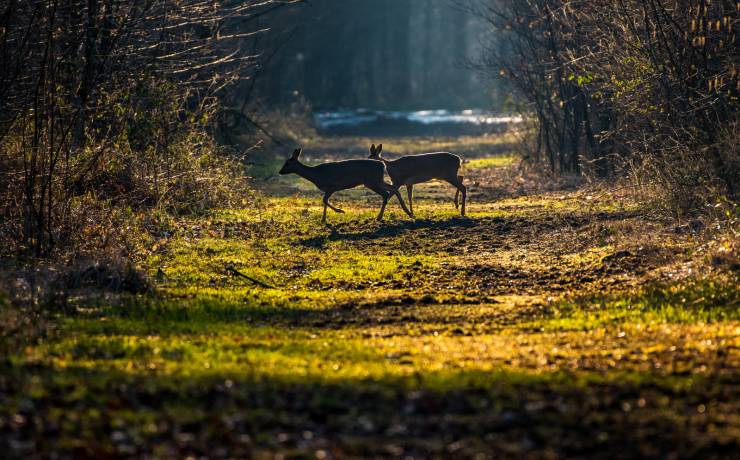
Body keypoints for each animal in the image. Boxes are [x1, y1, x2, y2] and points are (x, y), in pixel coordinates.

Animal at [278, 148, 414, 224]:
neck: (316, 175)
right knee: (393, 188)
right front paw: (323, 219)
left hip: (372, 181)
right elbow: (324, 201)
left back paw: (381, 217)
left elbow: (324, 200)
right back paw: (406, 212)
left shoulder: (332, 186)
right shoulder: (328, 189)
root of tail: (382, 165)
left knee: (386, 193)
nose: (280, 172)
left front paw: (340, 211)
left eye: (287, 163)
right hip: (376, 180)